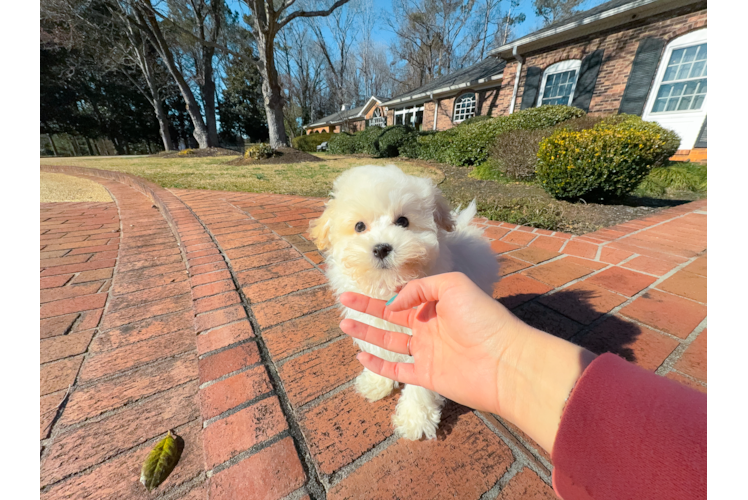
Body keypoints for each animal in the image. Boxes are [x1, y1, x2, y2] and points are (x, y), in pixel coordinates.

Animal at [306, 166, 500, 440]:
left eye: (403, 221)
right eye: (359, 226)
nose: (381, 248)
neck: (389, 285)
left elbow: (421, 380)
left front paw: (415, 419)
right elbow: (378, 351)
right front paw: (376, 383)